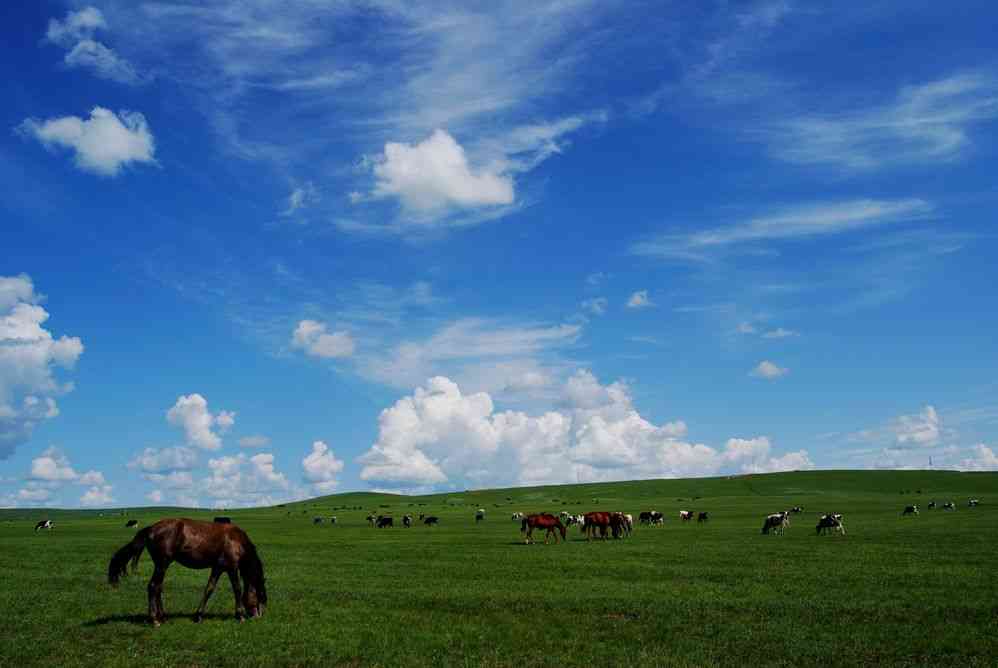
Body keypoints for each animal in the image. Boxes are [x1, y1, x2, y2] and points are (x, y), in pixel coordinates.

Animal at [108, 516, 268, 628]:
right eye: (260, 595)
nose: (258, 616)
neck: (236, 540)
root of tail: (151, 529)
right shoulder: (231, 567)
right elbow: (237, 589)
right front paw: (239, 615)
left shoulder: (217, 568)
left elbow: (209, 589)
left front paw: (198, 616)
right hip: (162, 564)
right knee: (153, 586)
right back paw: (154, 620)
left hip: (162, 566)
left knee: (158, 587)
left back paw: (162, 617)